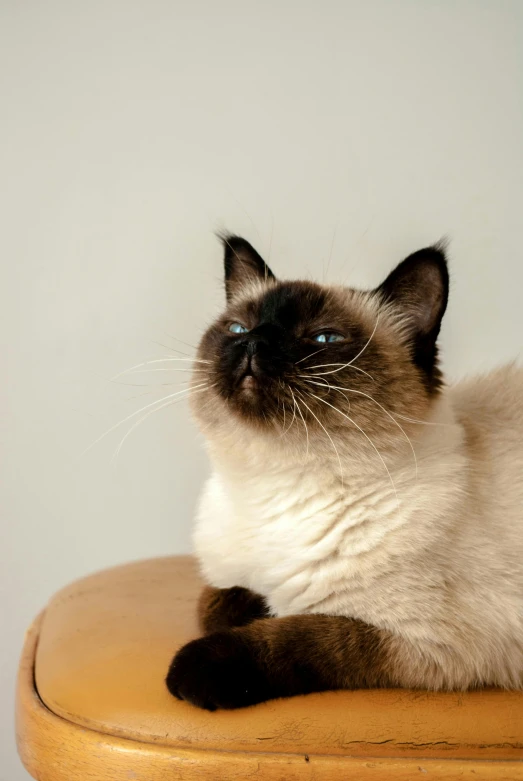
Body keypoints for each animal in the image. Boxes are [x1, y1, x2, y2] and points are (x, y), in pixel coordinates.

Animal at [167, 235, 523, 708]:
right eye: (238, 329)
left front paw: (193, 670)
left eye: (323, 337)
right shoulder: (227, 582)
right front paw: (260, 606)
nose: (253, 343)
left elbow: (299, 636)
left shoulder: (429, 644)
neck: (276, 484)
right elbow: (216, 602)